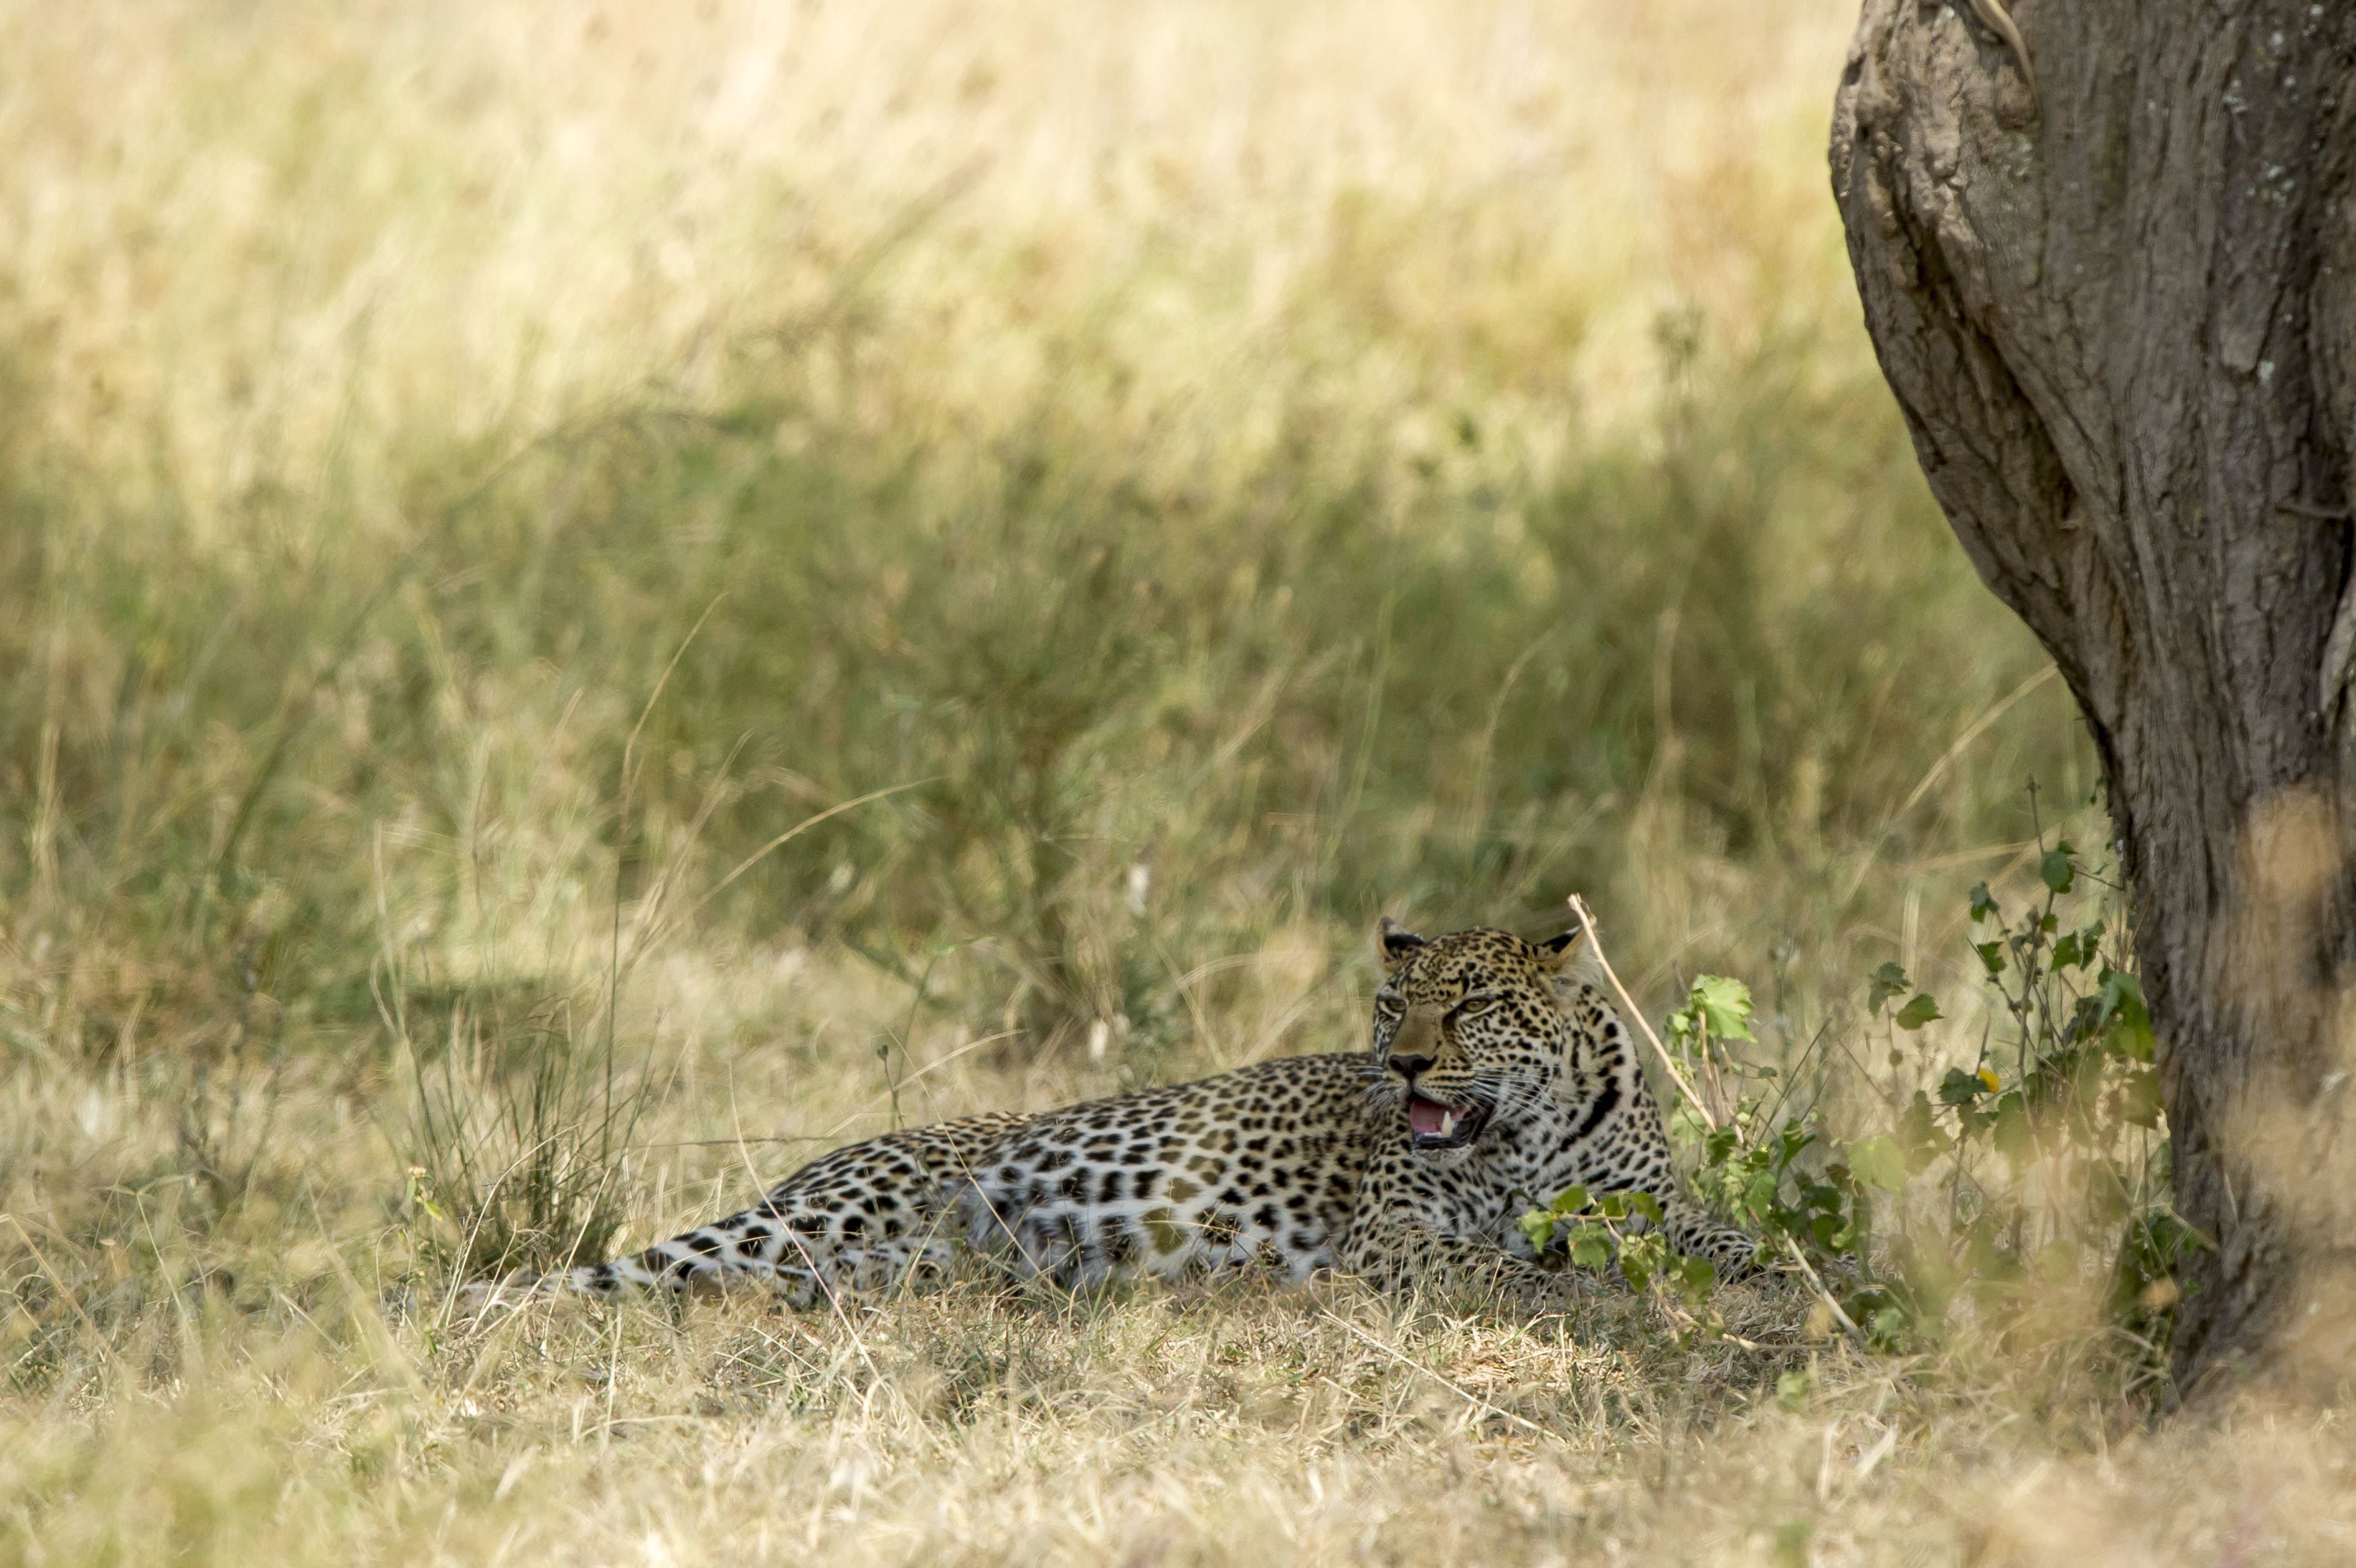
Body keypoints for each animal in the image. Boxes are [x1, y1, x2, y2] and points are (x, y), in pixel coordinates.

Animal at [459, 914, 1759, 1312]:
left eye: (1472, 1005)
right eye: (1395, 1003)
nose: (1399, 1065)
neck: (1528, 1137)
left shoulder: (1651, 1202)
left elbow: (1717, 1235)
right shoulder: (1395, 1234)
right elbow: (1494, 1263)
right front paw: (1563, 1277)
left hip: (881, 1262)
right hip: (812, 1217)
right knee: (610, 1270)